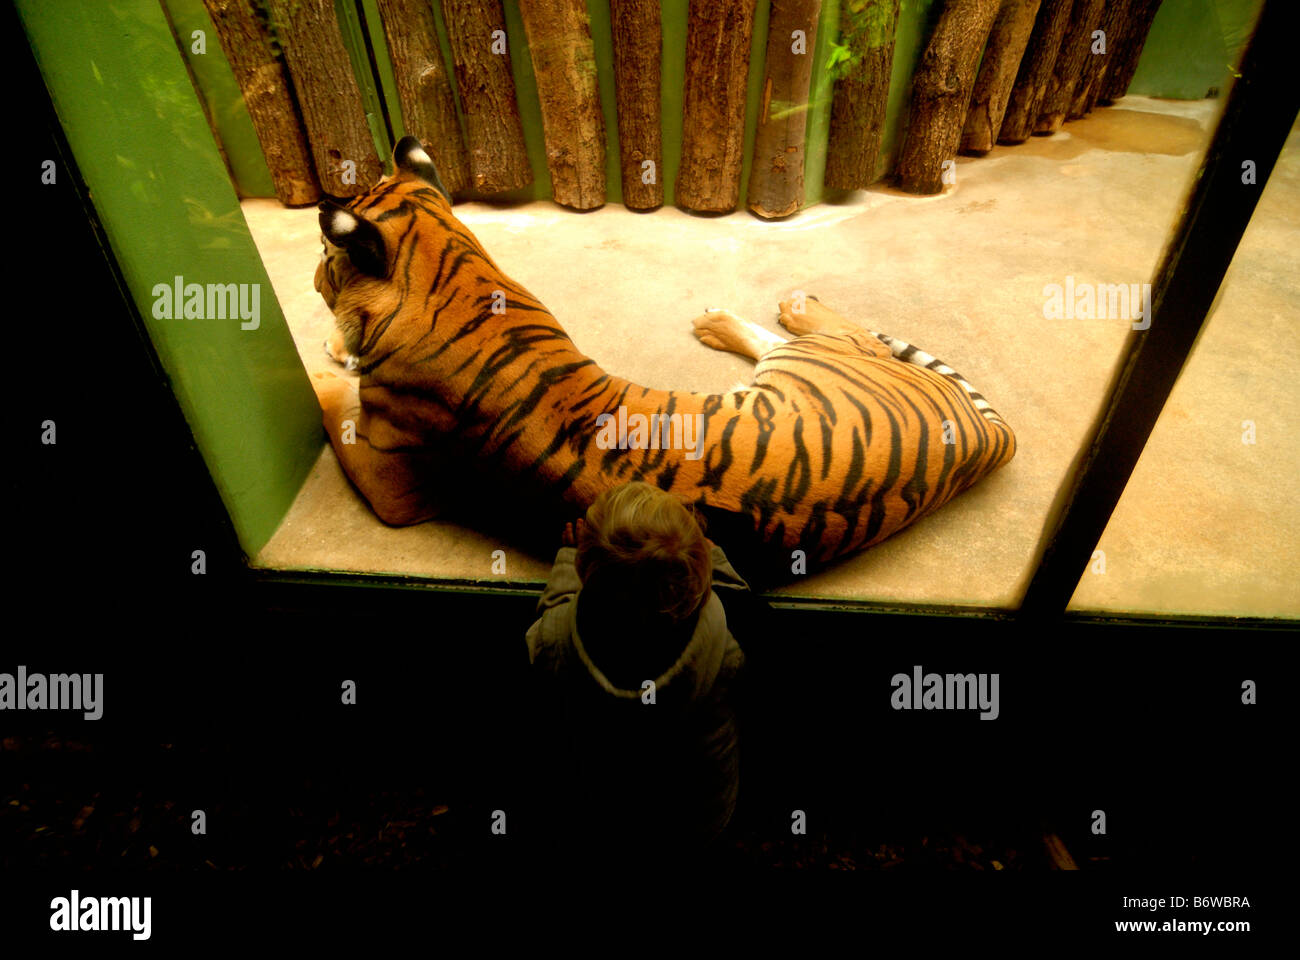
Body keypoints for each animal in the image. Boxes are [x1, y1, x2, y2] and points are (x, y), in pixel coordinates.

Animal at [312, 133, 1013, 582]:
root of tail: (981, 439)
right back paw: (724, 320)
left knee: (837, 333)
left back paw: (786, 305)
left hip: (815, 359)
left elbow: (332, 401)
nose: (318, 278)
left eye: (323, 257)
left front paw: (322, 360)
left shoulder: (391, 482)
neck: (451, 273)